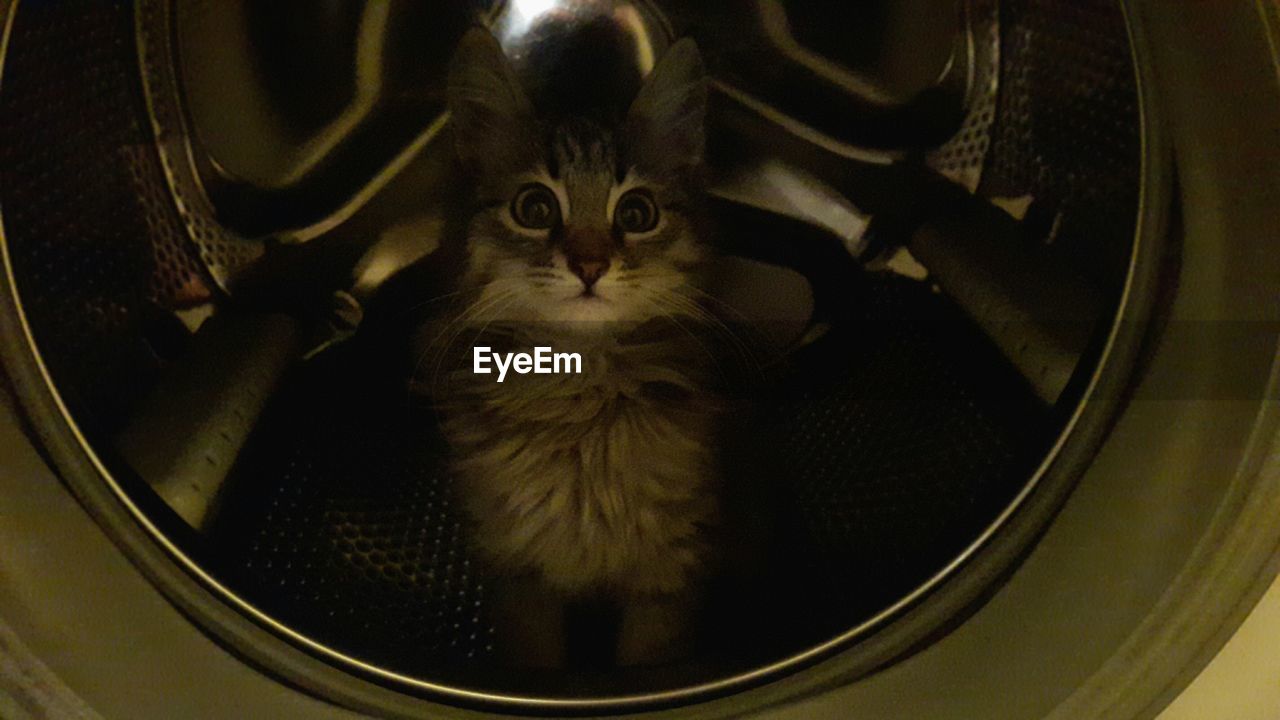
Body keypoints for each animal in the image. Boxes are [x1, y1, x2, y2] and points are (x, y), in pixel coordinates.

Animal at [414, 28, 727, 666]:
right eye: (534, 208)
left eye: (637, 212)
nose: (589, 264)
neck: (580, 396)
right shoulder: (520, 577)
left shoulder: (669, 575)